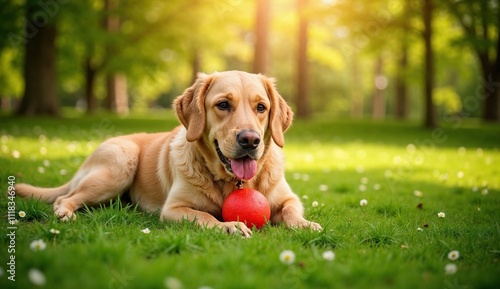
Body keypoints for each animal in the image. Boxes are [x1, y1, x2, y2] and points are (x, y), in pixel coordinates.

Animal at [15, 70, 322, 236]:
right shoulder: (174, 209)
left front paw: (305, 224)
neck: (231, 182)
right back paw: (65, 213)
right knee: (65, 197)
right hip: (118, 166)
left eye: (261, 107)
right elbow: (205, 217)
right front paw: (229, 226)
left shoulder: (288, 198)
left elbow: (291, 210)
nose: (250, 140)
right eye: (223, 104)